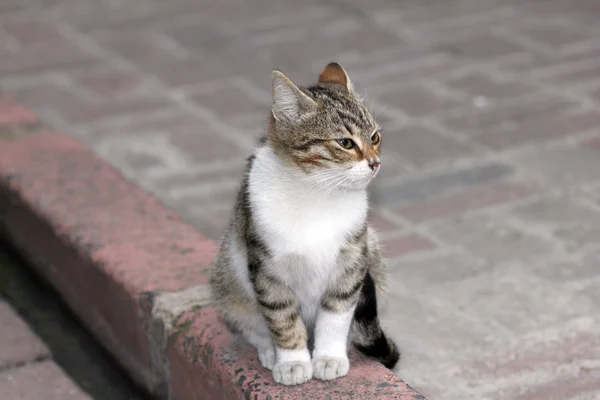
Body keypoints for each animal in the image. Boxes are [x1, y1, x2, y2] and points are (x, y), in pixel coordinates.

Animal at [209, 61, 400, 384]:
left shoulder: (352, 261)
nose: (375, 163)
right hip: (228, 281)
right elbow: (282, 318)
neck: (317, 192)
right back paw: (269, 350)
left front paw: (329, 357)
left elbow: (336, 314)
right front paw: (292, 361)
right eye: (345, 142)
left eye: (375, 137)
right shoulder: (267, 267)